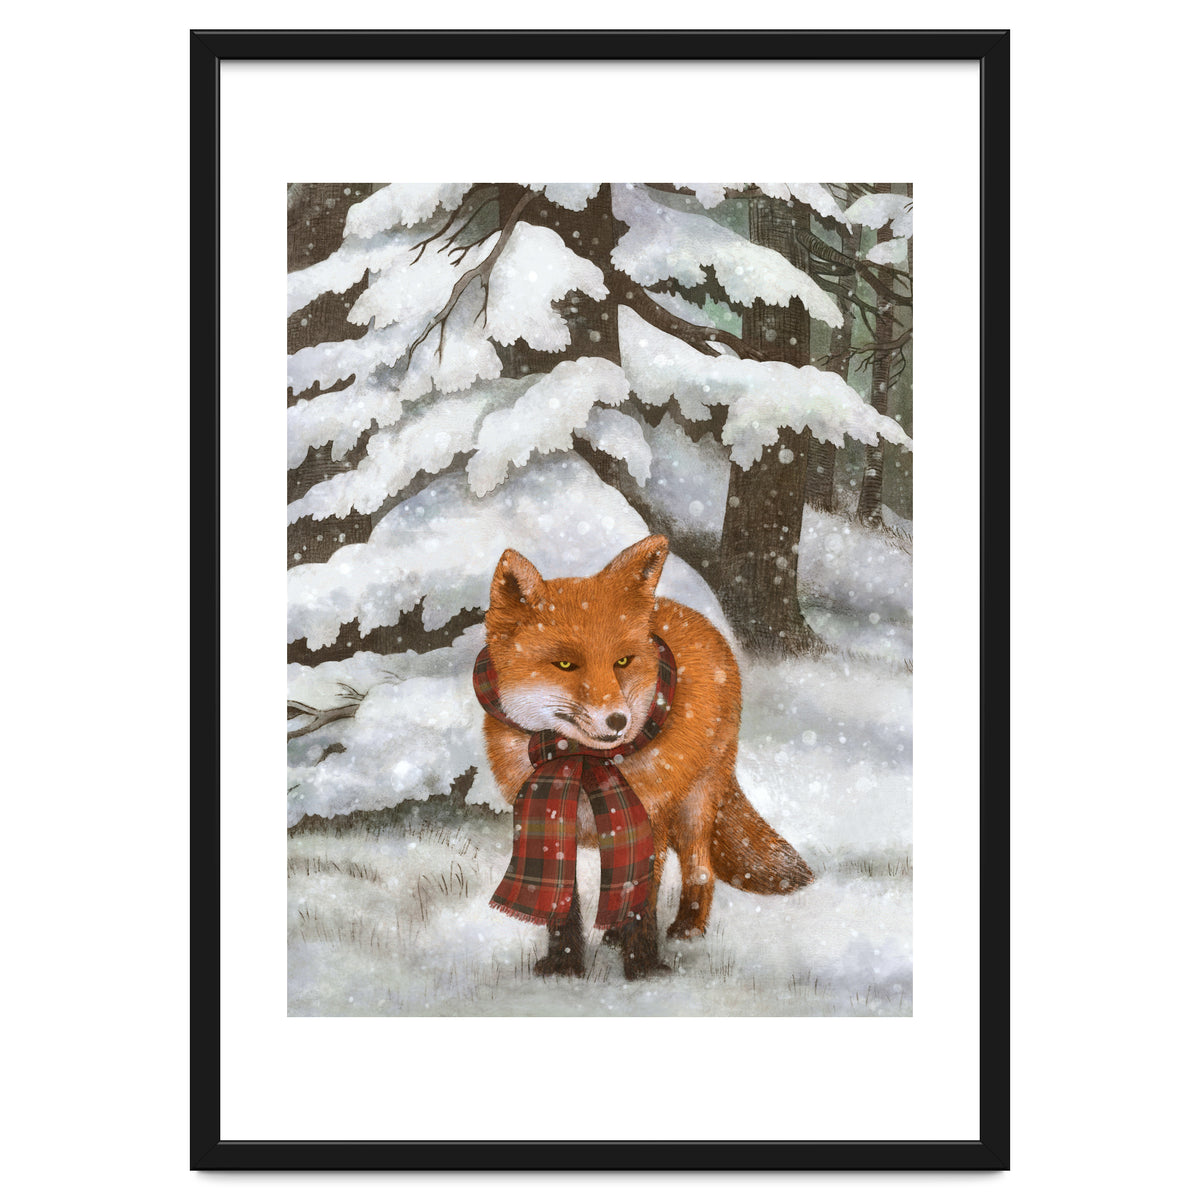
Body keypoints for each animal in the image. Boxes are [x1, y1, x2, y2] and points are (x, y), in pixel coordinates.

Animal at [481, 533, 813, 980]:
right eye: (565, 664)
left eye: (622, 661)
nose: (618, 720)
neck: (581, 761)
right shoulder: (552, 819)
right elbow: (563, 903)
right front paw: (563, 966)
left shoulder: (647, 818)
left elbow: (642, 902)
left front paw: (643, 969)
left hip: (694, 806)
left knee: (700, 869)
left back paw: (687, 928)